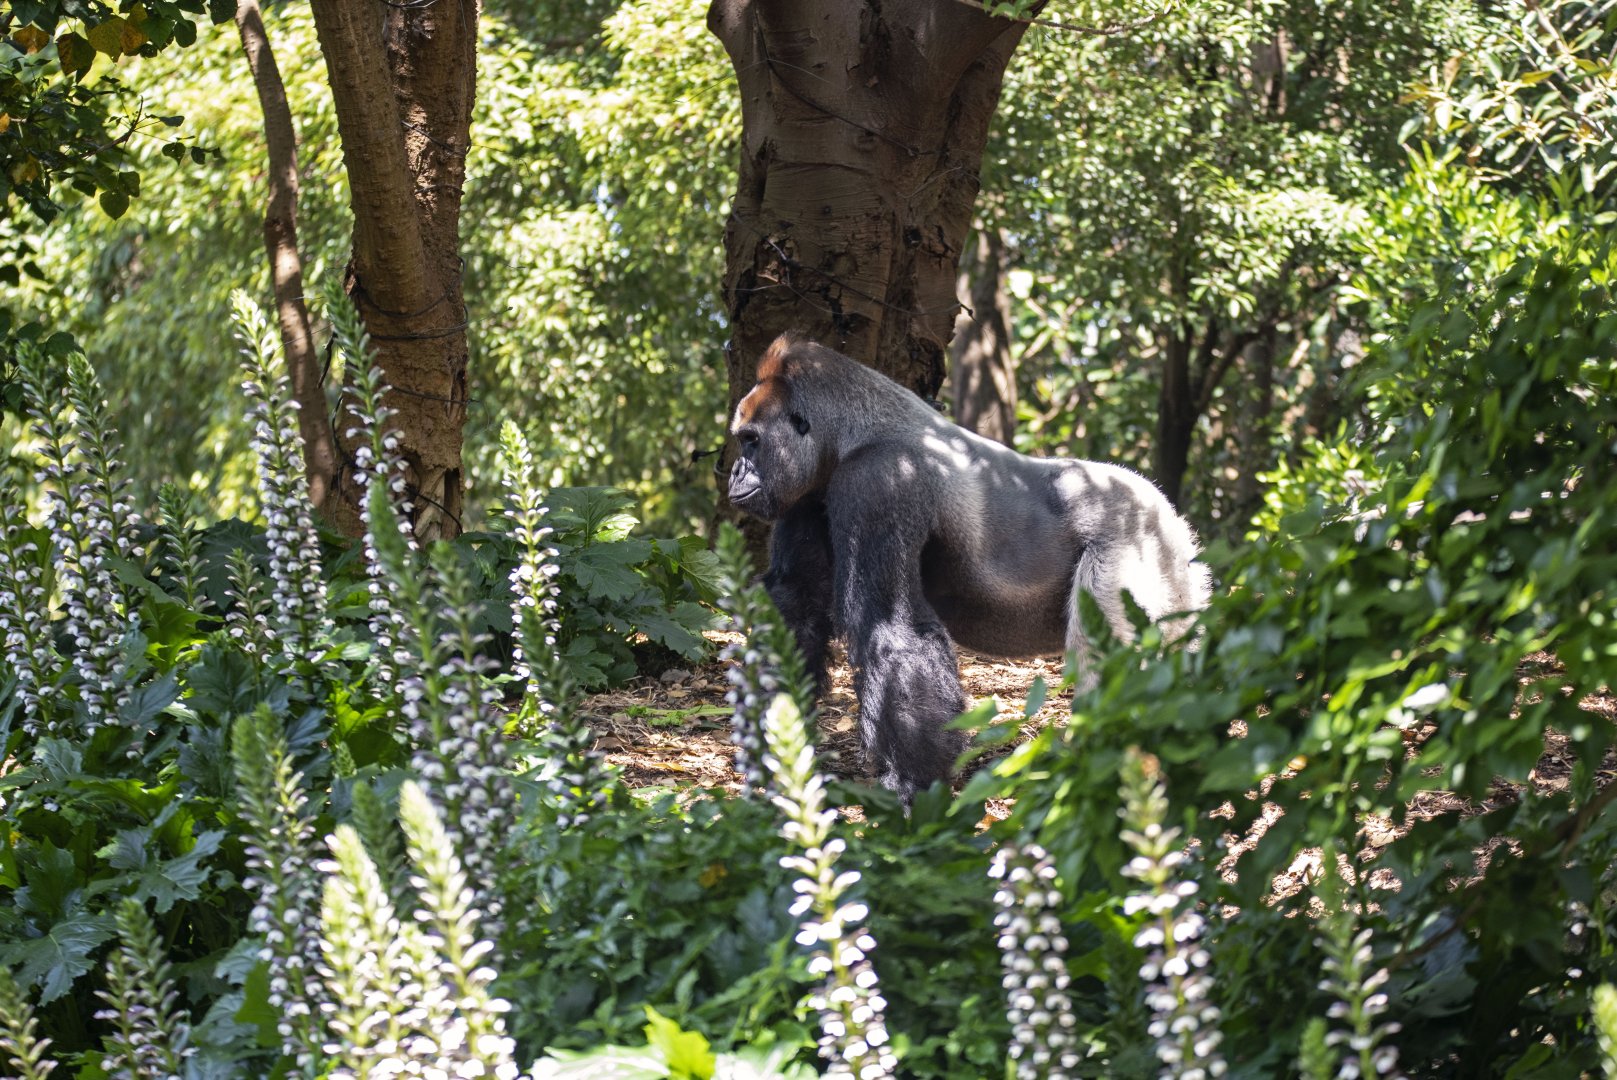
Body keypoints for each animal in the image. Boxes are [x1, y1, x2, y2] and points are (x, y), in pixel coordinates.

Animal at [728, 333, 1212, 802]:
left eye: (751, 440)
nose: (733, 472)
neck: (847, 436)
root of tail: (1167, 511)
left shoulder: (880, 481)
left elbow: (890, 628)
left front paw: (914, 786)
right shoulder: (807, 493)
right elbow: (797, 606)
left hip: (1133, 538)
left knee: (1109, 657)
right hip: (1176, 570)